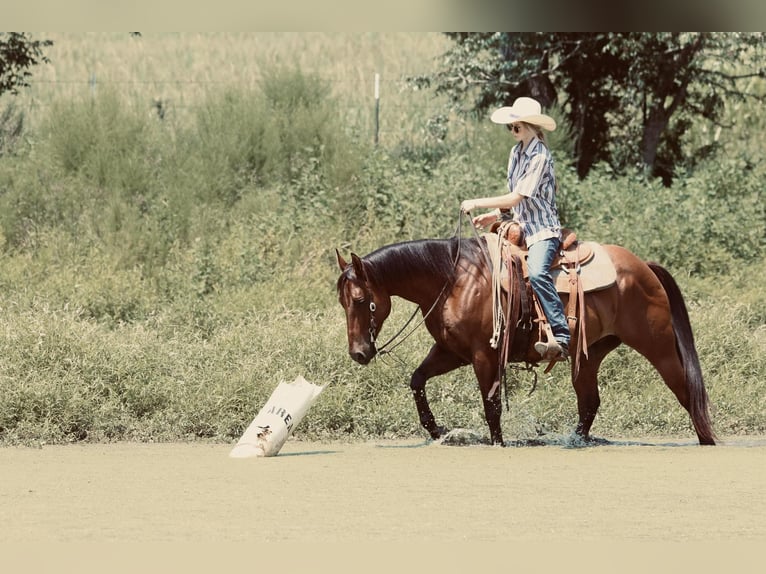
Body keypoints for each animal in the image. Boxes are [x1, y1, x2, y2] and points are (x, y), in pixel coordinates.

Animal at [338, 236, 720, 448]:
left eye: (361, 300)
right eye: (342, 301)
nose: (358, 353)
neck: (453, 279)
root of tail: (644, 267)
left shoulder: (484, 355)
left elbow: (491, 406)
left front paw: (498, 443)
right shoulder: (451, 352)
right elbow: (417, 380)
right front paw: (437, 430)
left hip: (658, 345)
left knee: (685, 389)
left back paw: (706, 439)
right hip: (590, 354)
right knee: (589, 402)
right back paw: (575, 441)